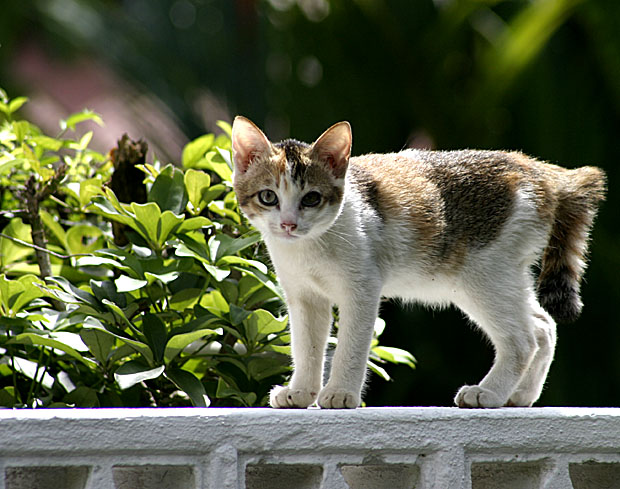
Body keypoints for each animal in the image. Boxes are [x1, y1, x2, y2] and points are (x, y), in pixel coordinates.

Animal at [230, 115, 604, 408]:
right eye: (268, 197)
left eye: (311, 199)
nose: (288, 225)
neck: (311, 246)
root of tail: (538, 170)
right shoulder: (305, 297)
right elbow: (307, 346)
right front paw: (301, 392)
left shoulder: (362, 288)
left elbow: (351, 345)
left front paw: (340, 393)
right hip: (502, 275)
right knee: (543, 326)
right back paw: (520, 394)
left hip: (485, 274)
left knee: (524, 339)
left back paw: (489, 393)